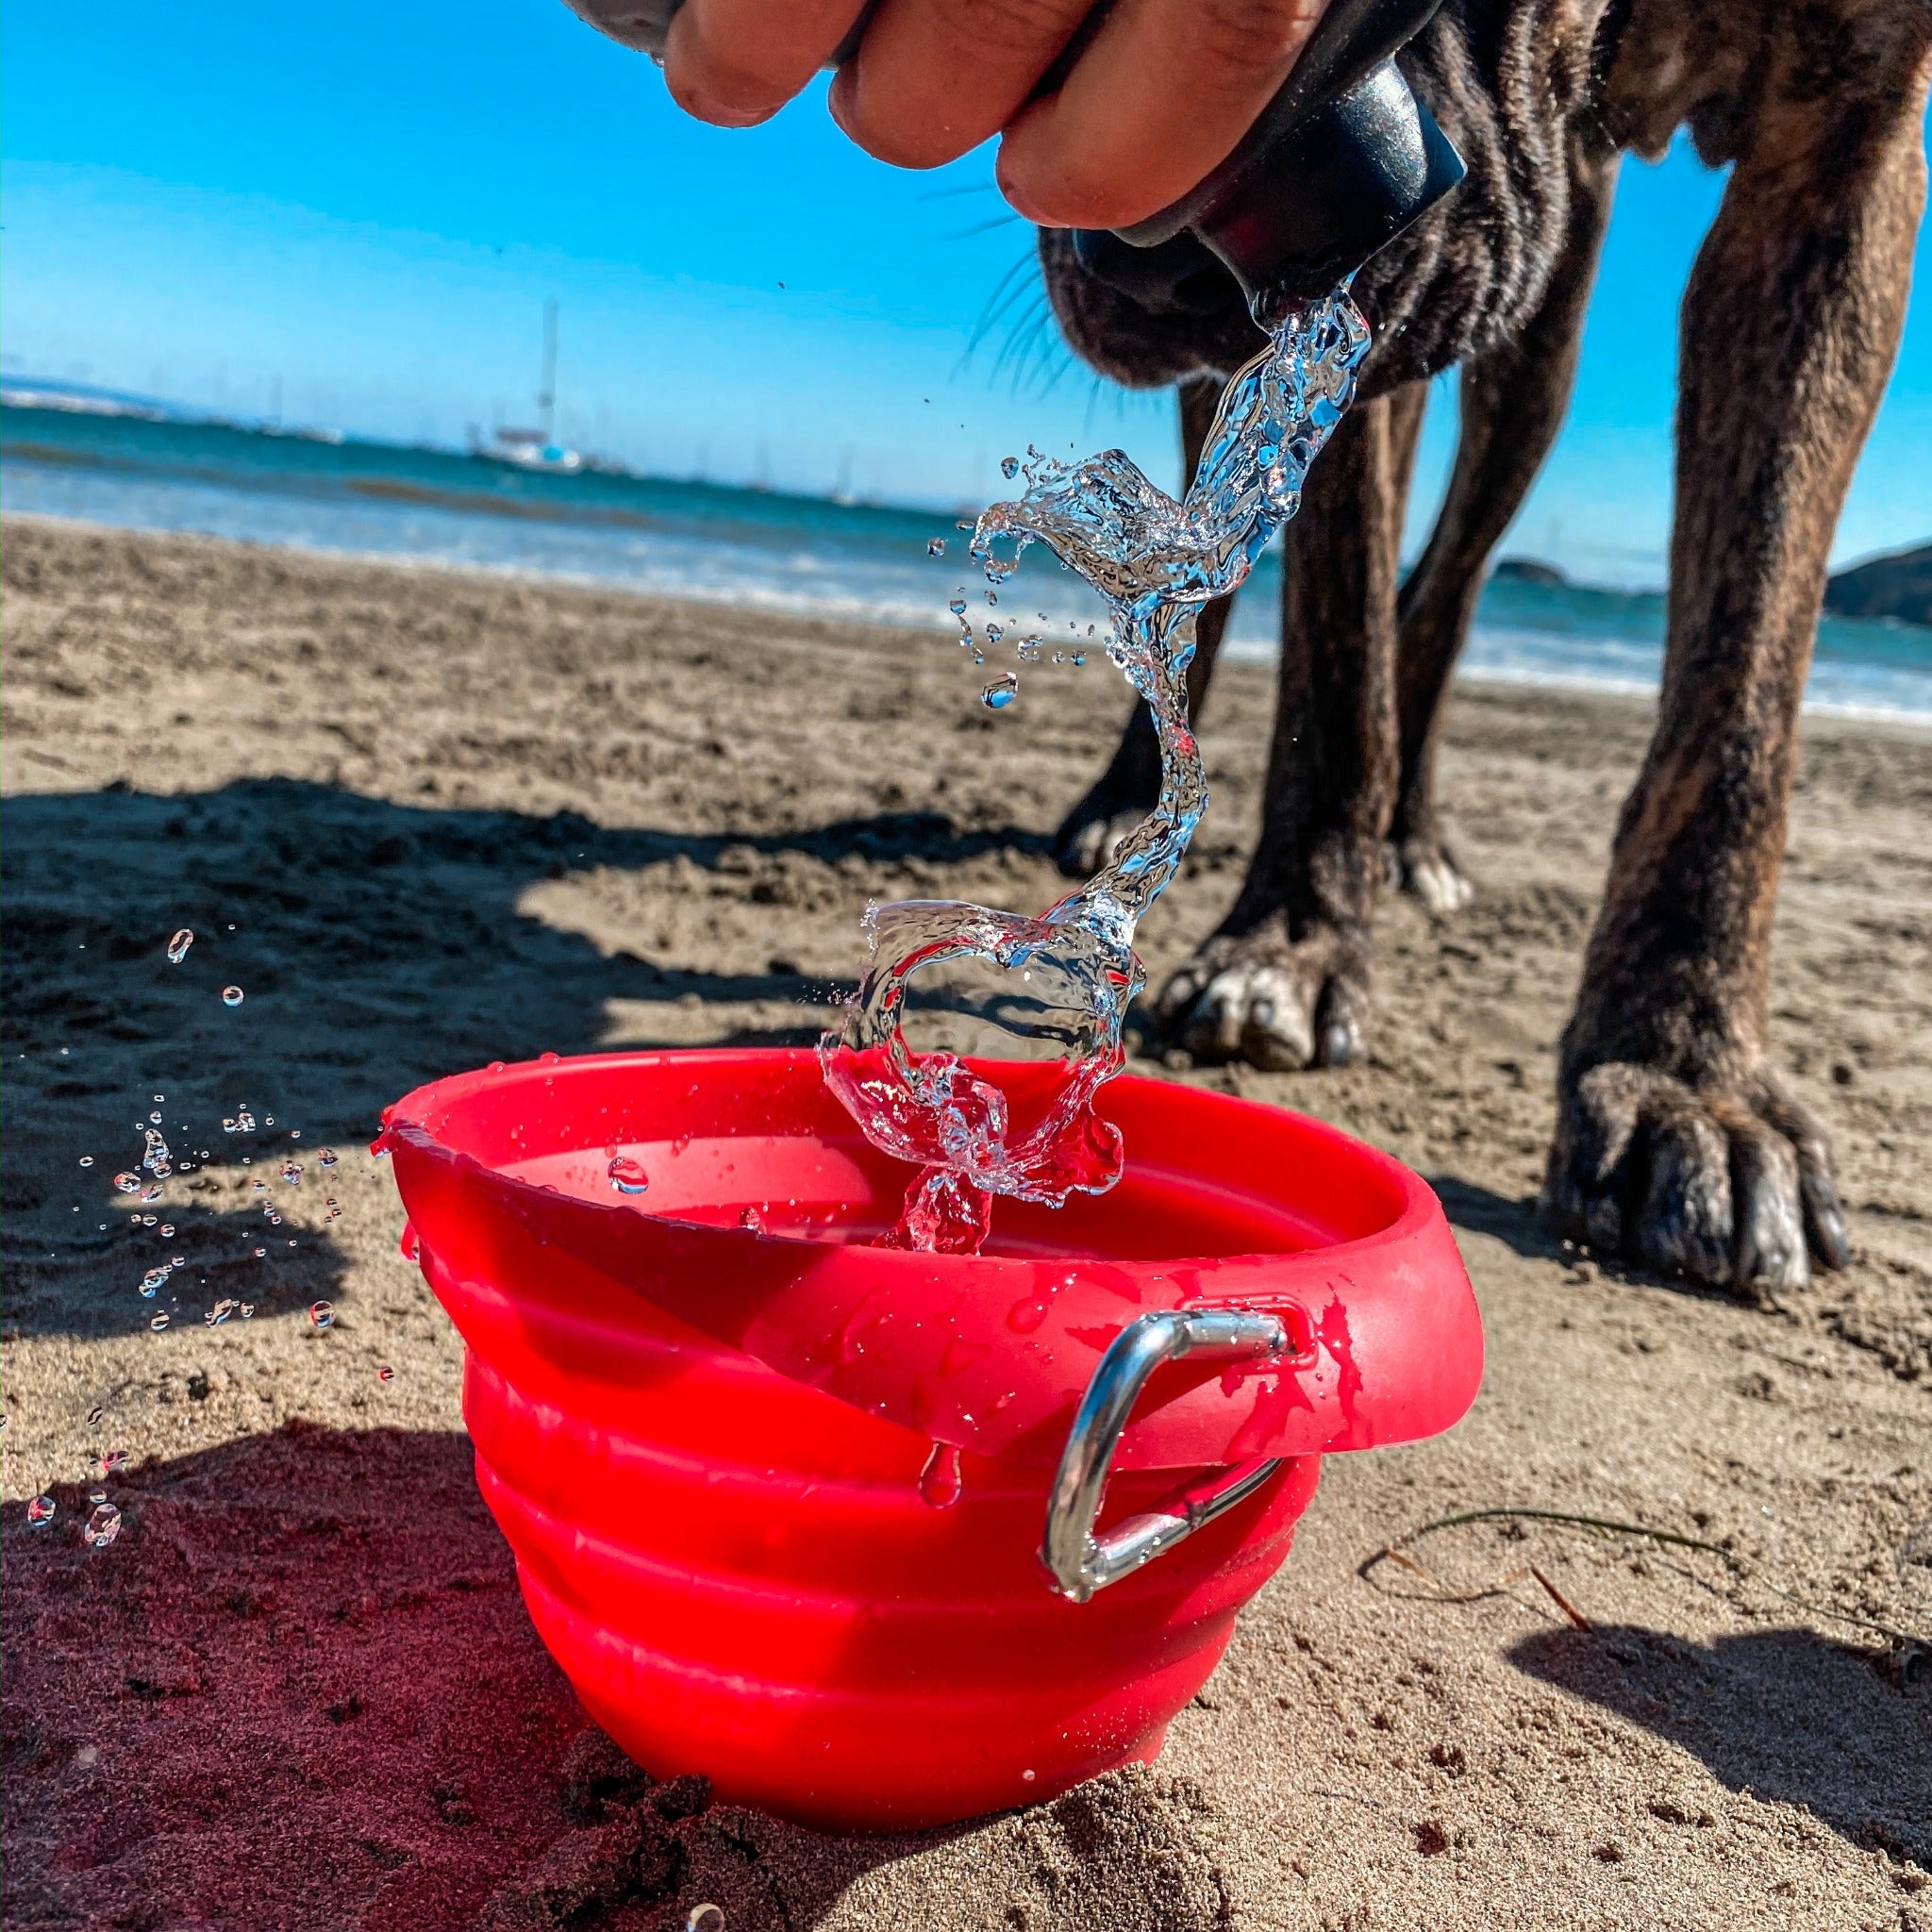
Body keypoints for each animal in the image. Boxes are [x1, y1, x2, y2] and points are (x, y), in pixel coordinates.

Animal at [1042, 4, 1932, 1298]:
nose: (1134, 253)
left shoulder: (1847, 148)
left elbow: (1741, 686)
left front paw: (1685, 1071)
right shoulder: (1349, 315)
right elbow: (1340, 646)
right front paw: (1292, 944)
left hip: (1537, 351)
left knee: (1452, 580)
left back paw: (1411, 836)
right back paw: (1130, 798)